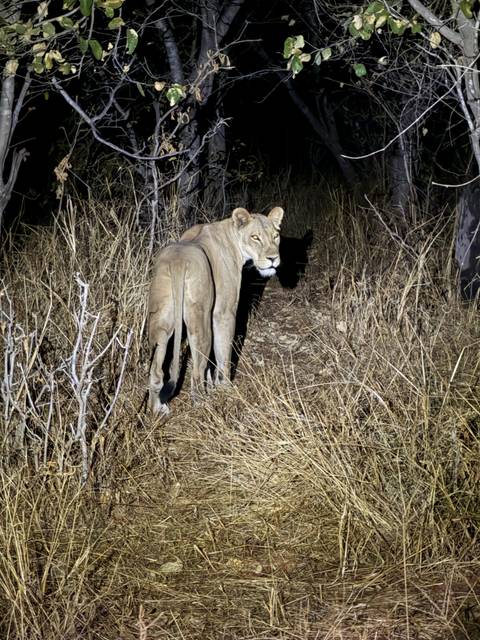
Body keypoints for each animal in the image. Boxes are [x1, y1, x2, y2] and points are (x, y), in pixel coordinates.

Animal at [148, 206, 284, 415]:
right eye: (255, 237)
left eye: (275, 236)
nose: (273, 259)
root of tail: (178, 262)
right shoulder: (223, 312)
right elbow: (223, 353)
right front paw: (225, 387)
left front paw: (213, 385)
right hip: (201, 318)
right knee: (196, 369)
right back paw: (202, 404)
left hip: (162, 317)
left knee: (156, 369)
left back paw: (158, 409)